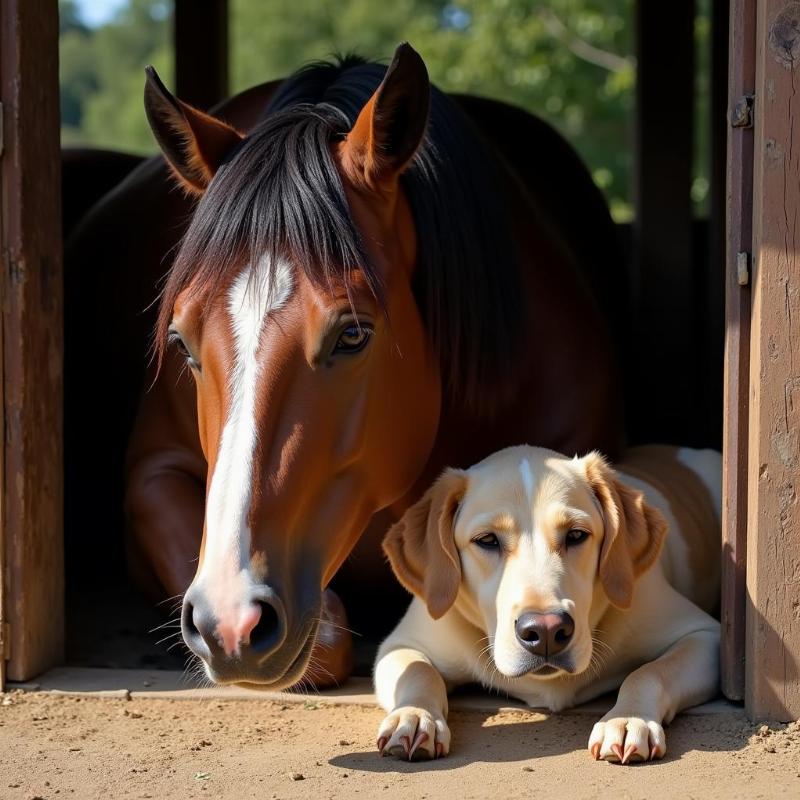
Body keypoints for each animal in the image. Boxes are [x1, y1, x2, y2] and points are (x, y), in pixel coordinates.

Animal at [374, 444, 720, 764]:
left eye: (576, 535)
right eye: (487, 540)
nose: (546, 631)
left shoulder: (705, 637)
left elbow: (648, 672)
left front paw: (627, 719)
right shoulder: (399, 645)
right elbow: (419, 671)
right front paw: (414, 716)